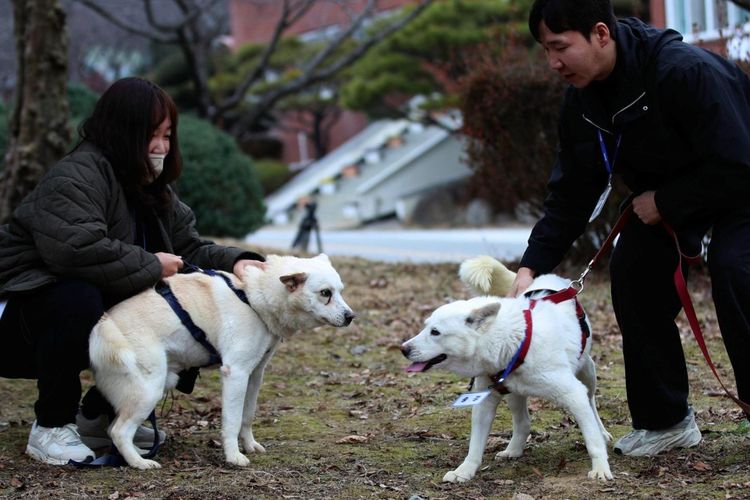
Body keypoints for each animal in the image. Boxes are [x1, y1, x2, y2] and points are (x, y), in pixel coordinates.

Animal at [402, 256, 612, 482]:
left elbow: (592, 440)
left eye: (435, 332)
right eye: (426, 327)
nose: (403, 349)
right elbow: (475, 446)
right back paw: (513, 450)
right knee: (523, 423)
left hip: (587, 375)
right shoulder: (484, 402)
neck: (514, 343)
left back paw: (602, 431)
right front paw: (464, 471)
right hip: (514, 394)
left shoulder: (573, 394)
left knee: (591, 404)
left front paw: (600, 468)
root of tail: (551, 279)